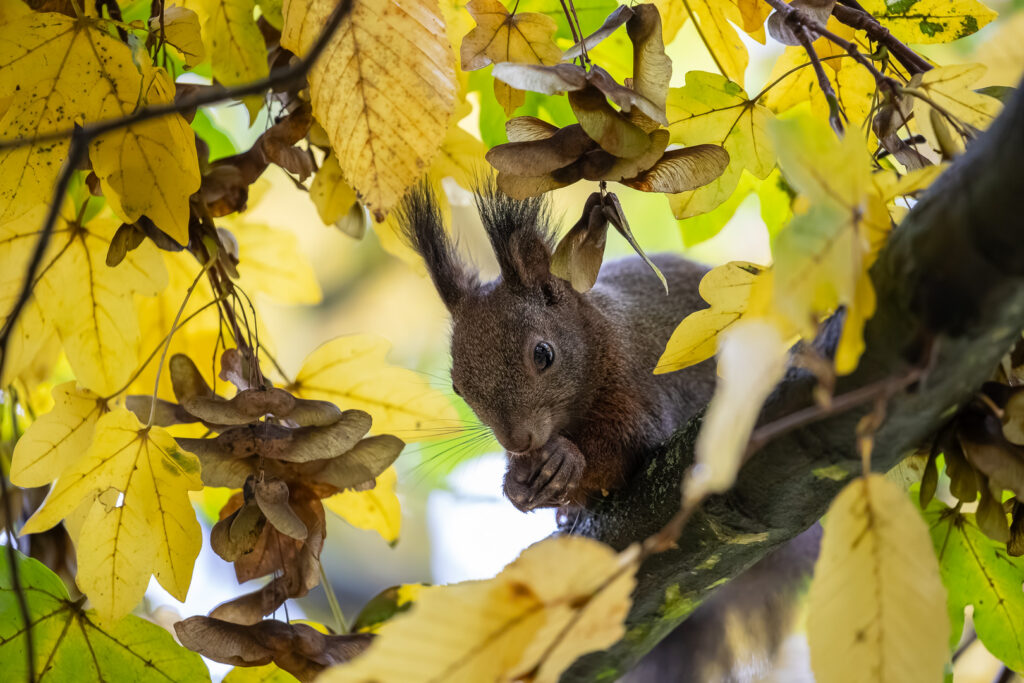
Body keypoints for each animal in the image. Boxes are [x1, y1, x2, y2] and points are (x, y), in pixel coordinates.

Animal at [398, 181, 819, 681]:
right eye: (459, 387)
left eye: (543, 354)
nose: (518, 441)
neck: (600, 336)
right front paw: (518, 484)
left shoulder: (641, 386)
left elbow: (629, 446)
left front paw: (567, 461)